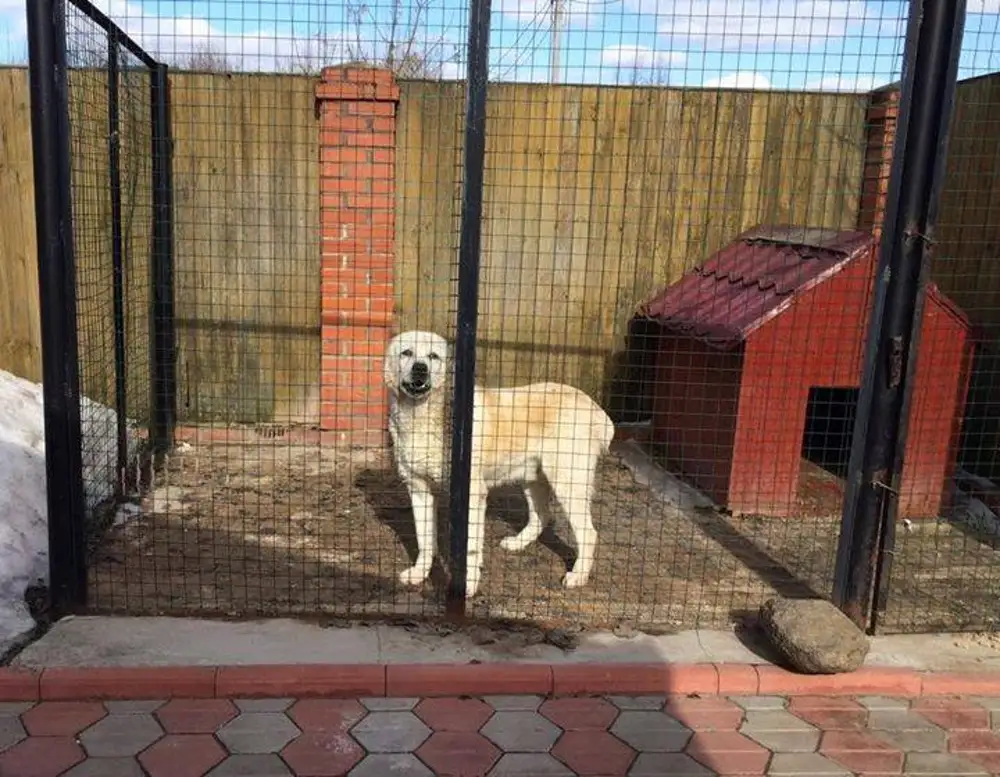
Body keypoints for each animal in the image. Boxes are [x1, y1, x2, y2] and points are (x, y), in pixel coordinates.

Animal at [382, 330, 616, 596]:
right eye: (407, 353)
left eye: (433, 356)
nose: (420, 369)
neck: (422, 414)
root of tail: (594, 406)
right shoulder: (419, 490)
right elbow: (425, 541)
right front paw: (419, 573)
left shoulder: (472, 495)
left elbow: (470, 549)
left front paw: (467, 586)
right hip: (533, 479)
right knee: (542, 515)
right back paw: (518, 543)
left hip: (567, 483)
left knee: (588, 533)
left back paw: (578, 575)